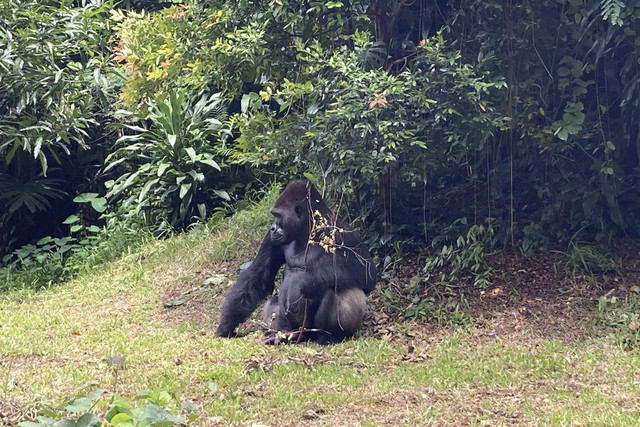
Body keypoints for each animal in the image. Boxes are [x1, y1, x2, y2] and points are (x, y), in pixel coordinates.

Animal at [216, 180, 376, 344]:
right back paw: (284, 333)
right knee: (273, 304)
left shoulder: (344, 232)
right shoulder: (271, 239)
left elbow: (366, 273)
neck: (308, 230)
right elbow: (258, 275)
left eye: (278, 215)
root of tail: (304, 333)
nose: (272, 227)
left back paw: (329, 336)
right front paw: (226, 324)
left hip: (312, 330)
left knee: (342, 287)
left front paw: (308, 282)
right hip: (294, 327)